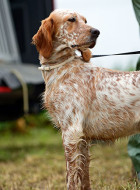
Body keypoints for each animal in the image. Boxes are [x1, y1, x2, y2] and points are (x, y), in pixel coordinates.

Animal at [32, 9, 140, 190]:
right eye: (72, 19)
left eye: (85, 20)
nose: (96, 32)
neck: (63, 68)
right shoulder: (82, 138)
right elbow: (83, 176)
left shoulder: (71, 132)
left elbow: (71, 177)